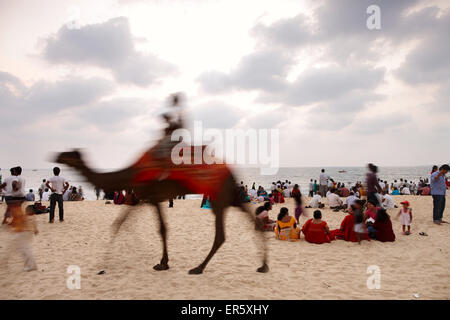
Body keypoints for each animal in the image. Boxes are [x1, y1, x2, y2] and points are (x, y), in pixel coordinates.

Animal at [54, 149, 268, 274]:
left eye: (69, 153)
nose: (56, 156)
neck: (132, 173)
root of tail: (232, 172)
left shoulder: (150, 195)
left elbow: (159, 228)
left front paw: (103, 265)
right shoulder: (144, 197)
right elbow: (123, 223)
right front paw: (162, 262)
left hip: (218, 196)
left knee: (221, 235)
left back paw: (198, 268)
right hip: (230, 197)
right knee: (253, 221)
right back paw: (263, 266)